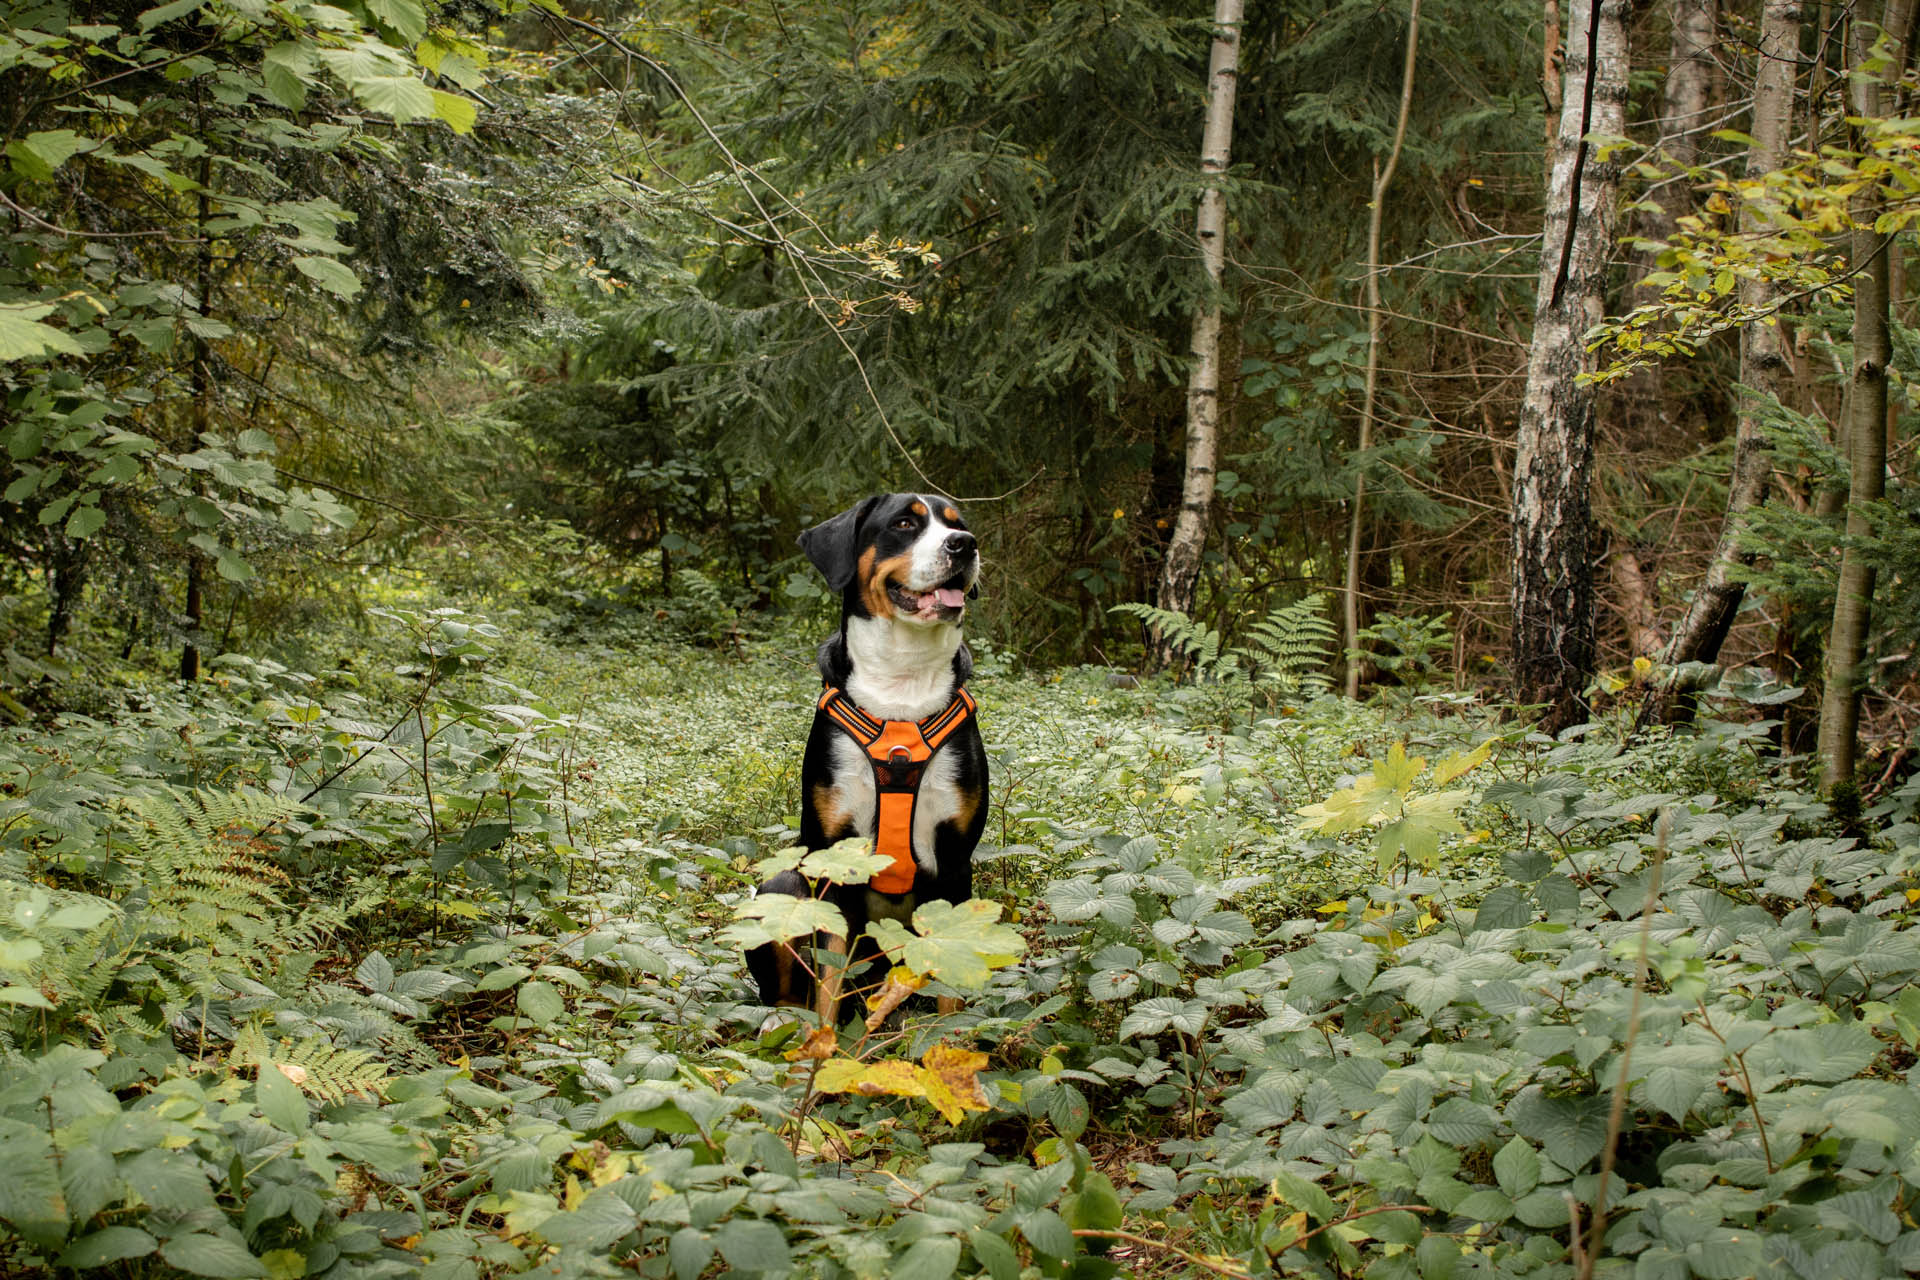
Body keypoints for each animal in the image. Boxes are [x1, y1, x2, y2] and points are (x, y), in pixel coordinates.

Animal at [744, 491, 990, 1020]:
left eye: (958, 524)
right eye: (904, 524)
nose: (964, 545)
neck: (902, 683)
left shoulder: (955, 861)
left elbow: (949, 978)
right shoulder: (834, 863)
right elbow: (828, 985)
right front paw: (822, 1041)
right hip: (781, 887)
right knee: (788, 993)